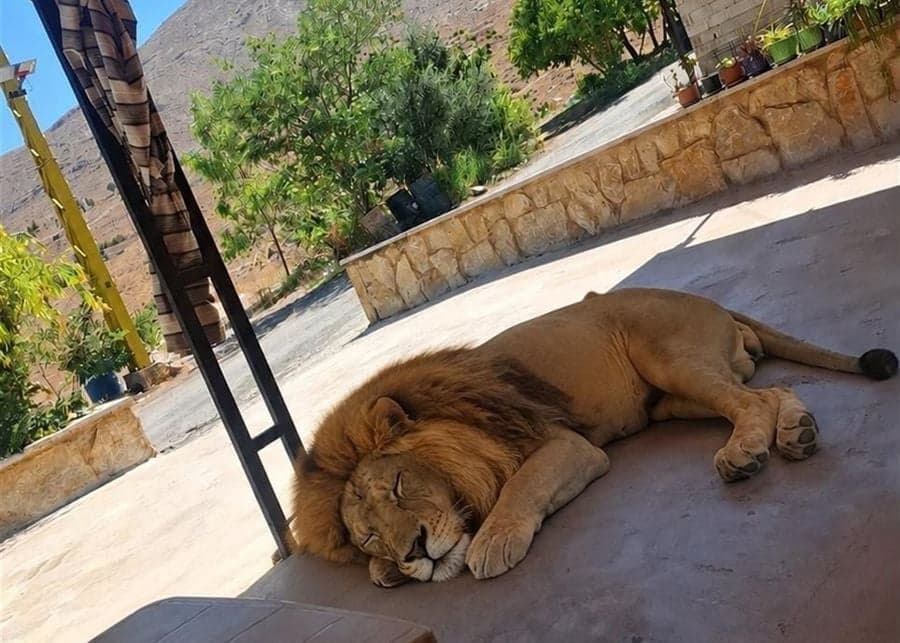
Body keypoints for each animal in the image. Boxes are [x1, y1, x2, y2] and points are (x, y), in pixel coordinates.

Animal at [290, 288, 897, 587]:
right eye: (368, 535)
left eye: (398, 485)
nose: (413, 550)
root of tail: (705, 300)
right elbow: (374, 573)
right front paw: (387, 572)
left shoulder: (567, 444)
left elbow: (520, 486)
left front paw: (491, 542)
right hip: (671, 402)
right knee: (772, 391)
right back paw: (795, 433)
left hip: (666, 355)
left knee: (751, 401)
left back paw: (744, 454)